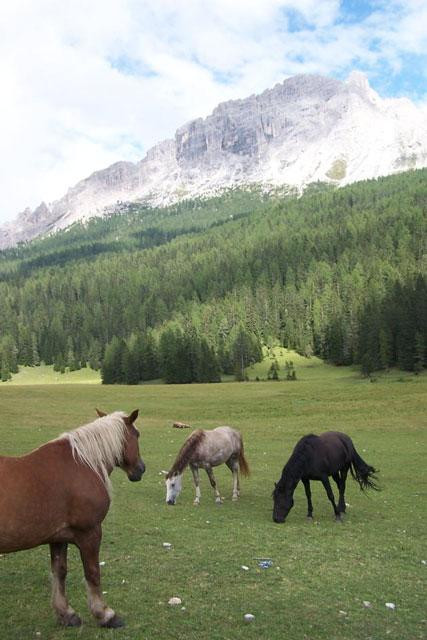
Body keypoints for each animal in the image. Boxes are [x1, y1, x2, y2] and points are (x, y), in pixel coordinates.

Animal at [0, 408, 145, 628]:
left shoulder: (58, 537)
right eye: (136, 435)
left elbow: (59, 572)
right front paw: (105, 614)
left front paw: (66, 613)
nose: (141, 469)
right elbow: (93, 573)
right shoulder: (90, 533)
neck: (82, 464)